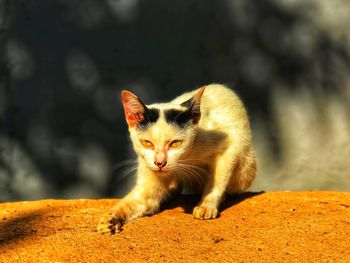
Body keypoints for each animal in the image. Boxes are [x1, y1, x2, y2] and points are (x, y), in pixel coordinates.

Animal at [97, 84, 256, 235]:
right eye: (147, 143)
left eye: (176, 143)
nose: (160, 162)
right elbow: (134, 201)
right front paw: (110, 218)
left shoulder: (228, 148)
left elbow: (216, 181)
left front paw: (206, 205)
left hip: (245, 169)